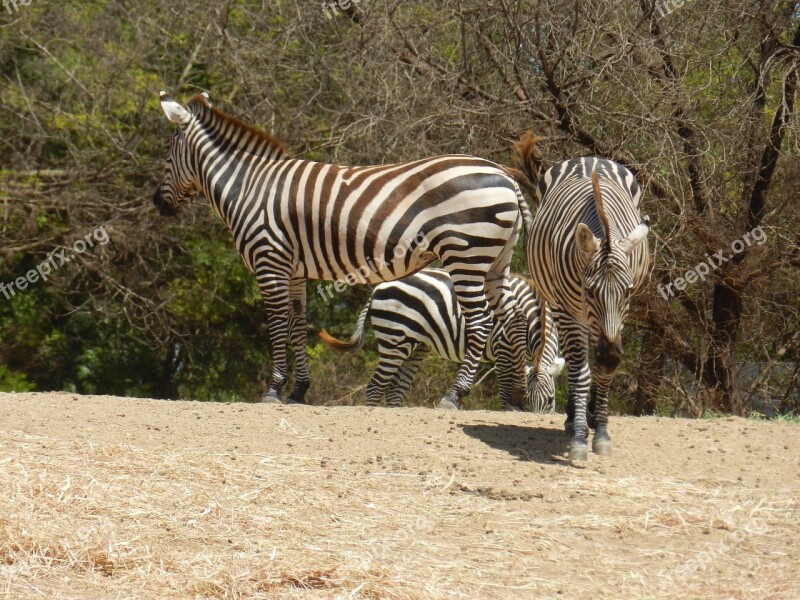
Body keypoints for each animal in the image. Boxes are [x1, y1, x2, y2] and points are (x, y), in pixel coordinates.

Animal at [153, 94, 536, 410]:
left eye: (169, 152)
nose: (157, 203)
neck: (248, 187)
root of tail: (505, 176)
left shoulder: (270, 260)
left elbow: (276, 323)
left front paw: (274, 389)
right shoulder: (295, 270)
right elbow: (297, 325)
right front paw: (299, 391)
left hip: (466, 254)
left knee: (482, 321)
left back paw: (454, 396)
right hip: (495, 261)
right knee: (513, 317)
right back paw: (514, 398)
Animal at [318, 270, 564, 410]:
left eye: (551, 401)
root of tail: (379, 286)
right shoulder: (502, 347)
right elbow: (505, 387)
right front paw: (508, 409)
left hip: (415, 346)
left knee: (395, 389)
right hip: (394, 340)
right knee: (375, 386)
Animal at [512, 134, 648, 462]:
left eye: (627, 291)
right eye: (589, 289)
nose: (610, 357)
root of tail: (591, 158)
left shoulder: (621, 314)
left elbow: (600, 372)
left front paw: (600, 431)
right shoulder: (567, 309)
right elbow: (580, 371)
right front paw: (578, 436)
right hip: (566, 310)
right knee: (578, 363)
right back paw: (575, 418)